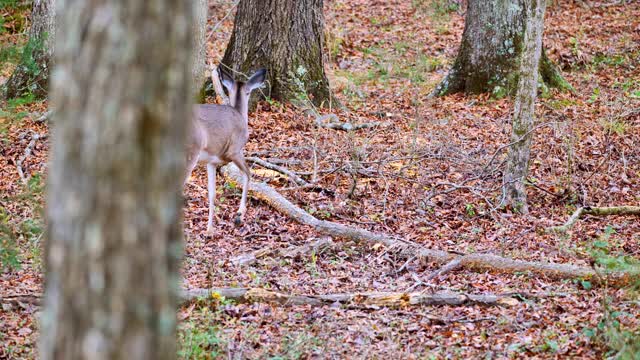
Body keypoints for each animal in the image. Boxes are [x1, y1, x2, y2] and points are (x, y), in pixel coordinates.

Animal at [184, 68, 266, 233]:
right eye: (248, 92)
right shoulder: (234, 150)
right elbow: (248, 174)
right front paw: (240, 214)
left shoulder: (211, 161)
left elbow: (212, 193)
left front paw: (209, 230)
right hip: (191, 151)